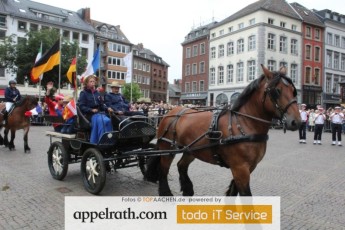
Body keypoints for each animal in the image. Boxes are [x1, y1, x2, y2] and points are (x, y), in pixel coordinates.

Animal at [146, 64, 300, 196]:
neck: (244, 124)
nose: (296, 121)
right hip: (167, 148)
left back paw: (188, 190)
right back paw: (166, 193)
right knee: (163, 170)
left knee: (181, 166)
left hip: (191, 150)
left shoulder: (248, 168)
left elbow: (233, 191)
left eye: (293, 91)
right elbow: (246, 196)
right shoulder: (240, 168)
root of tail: (171, 112)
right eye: (277, 91)